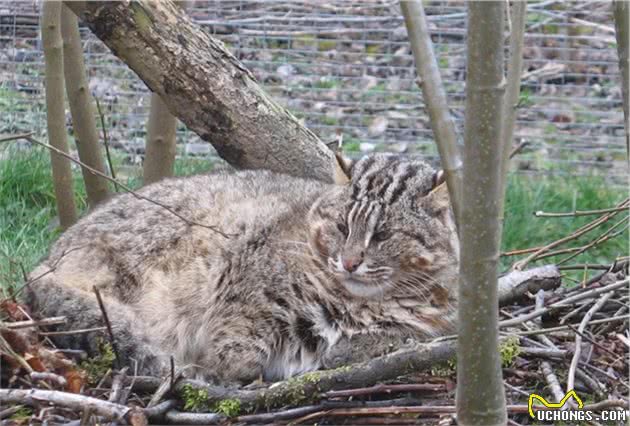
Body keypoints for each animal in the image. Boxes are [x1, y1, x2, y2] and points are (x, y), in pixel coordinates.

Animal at [24, 155, 460, 384]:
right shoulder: (246, 280)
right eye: (341, 226)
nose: (350, 262)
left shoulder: (439, 324)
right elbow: (237, 339)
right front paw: (230, 370)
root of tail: (47, 258)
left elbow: (399, 336)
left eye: (384, 234)